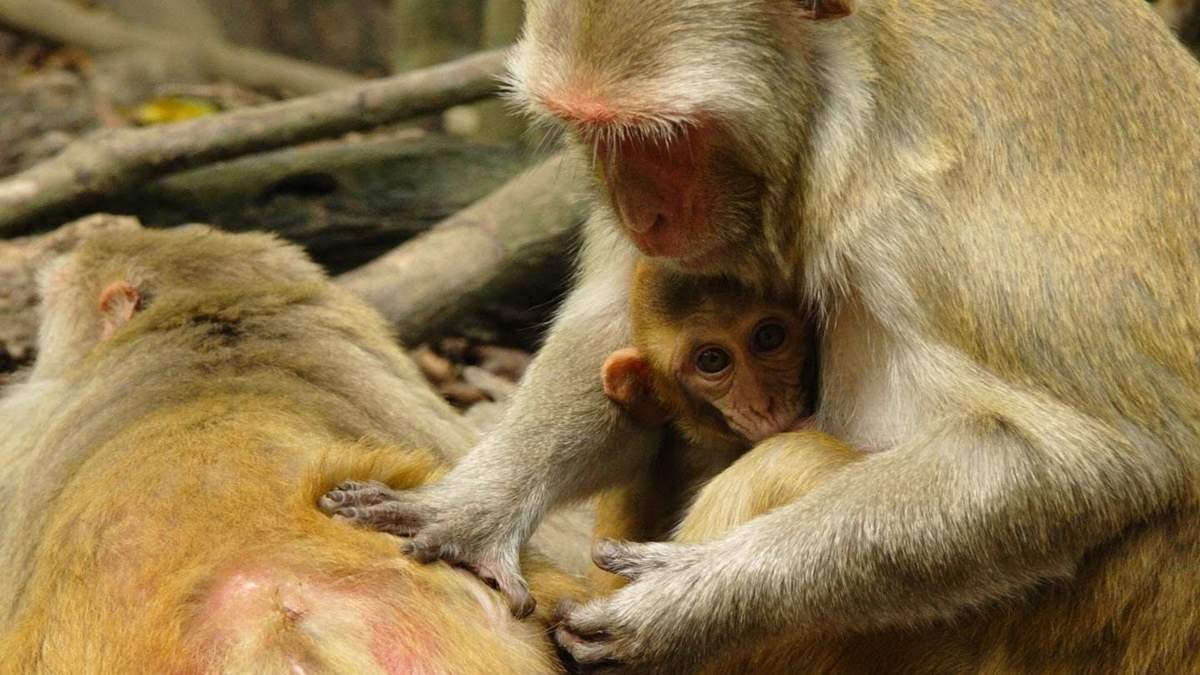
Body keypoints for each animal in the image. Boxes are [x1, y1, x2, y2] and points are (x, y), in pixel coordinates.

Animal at [325, 0, 1200, 672]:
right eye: (595, 131)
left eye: (664, 135)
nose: (642, 213)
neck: (843, 102)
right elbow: (615, 333)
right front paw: (469, 510)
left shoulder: (923, 219)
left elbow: (1084, 460)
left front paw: (686, 601)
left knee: (795, 460)